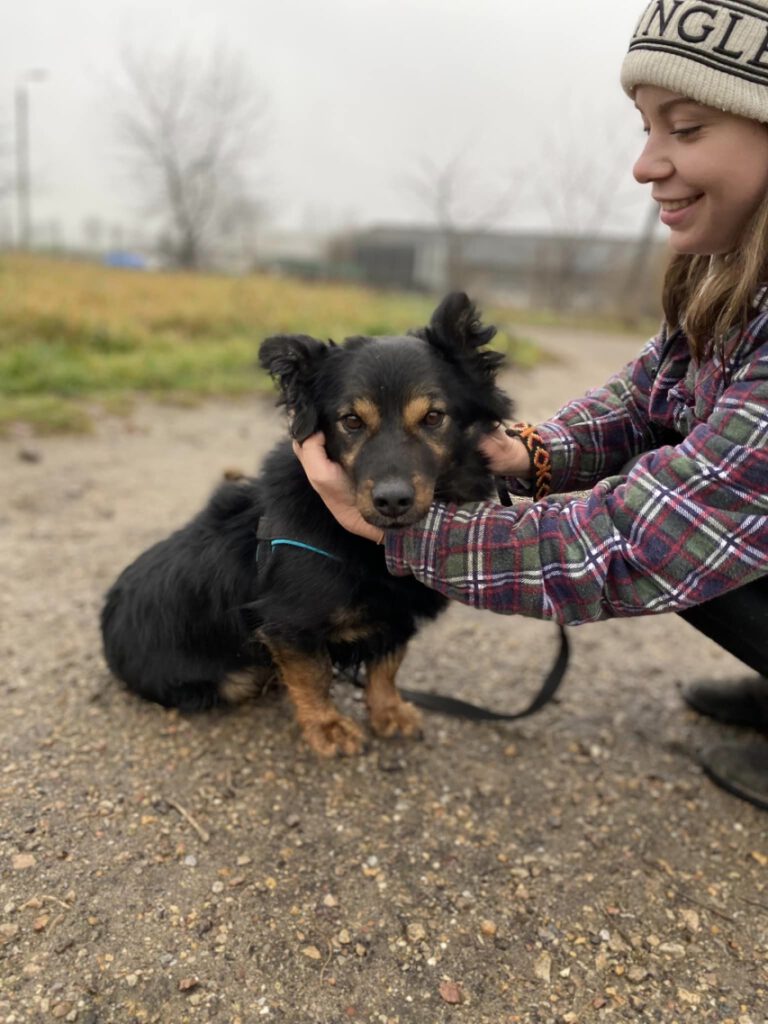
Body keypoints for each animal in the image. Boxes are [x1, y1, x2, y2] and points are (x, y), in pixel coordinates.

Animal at [100, 292, 512, 757]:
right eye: (351, 421)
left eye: (433, 417)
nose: (392, 501)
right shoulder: (289, 624)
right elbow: (314, 676)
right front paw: (328, 727)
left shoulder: (394, 614)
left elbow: (387, 666)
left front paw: (388, 711)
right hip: (231, 679)